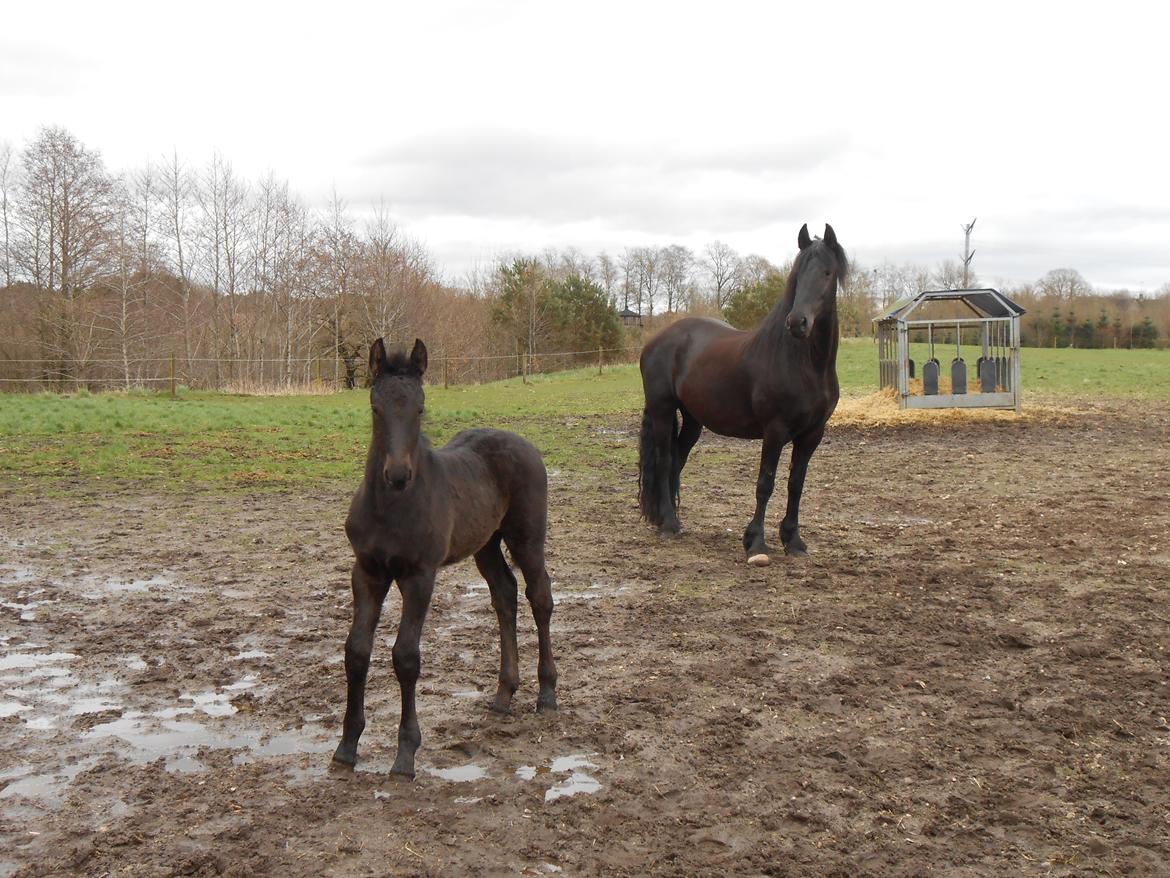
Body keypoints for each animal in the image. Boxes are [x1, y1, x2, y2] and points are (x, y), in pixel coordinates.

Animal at [641, 223, 851, 566]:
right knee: (664, 460)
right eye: (797, 273)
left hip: (693, 420)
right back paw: (669, 524)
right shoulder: (775, 431)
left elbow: (796, 484)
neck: (805, 365)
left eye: (827, 272)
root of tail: (656, 340)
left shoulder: (812, 434)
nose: (798, 322)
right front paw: (756, 543)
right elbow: (765, 483)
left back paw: (669, 519)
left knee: (676, 462)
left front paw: (793, 540)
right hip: (662, 410)